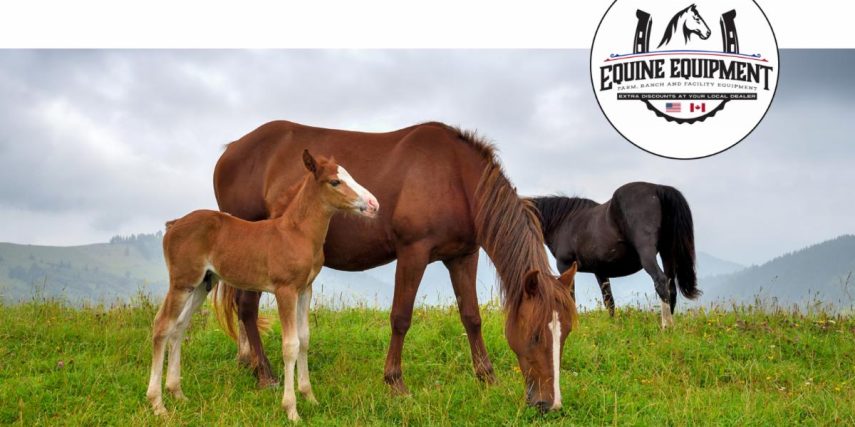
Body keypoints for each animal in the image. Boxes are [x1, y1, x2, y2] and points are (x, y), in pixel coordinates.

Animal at [146, 150, 379, 421]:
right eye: (335, 181)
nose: (374, 204)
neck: (297, 233)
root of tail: (173, 225)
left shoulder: (305, 290)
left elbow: (305, 338)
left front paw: (310, 397)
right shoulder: (285, 290)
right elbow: (290, 345)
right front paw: (291, 409)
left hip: (203, 284)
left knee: (179, 327)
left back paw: (177, 393)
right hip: (182, 282)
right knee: (162, 325)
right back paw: (158, 404)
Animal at [212, 120, 578, 411]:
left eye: (566, 334)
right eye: (535, 335)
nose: (549, 404)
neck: (455, 175)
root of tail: (231, 151)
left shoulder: (463, 257)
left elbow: (471, 317)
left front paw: (487, 377)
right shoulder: (413, 252)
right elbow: (401, 318)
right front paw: (394, 382)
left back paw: (249, 363)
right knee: (247, 308)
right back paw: (264, 373)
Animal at [530, 182, 700, 328]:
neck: (564, 221)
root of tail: (657, 188)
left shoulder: (565, 266)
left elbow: (570, 297)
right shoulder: (600, 271)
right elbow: (609, 301)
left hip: (648, 253)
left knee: (661, 281)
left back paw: (666, 325)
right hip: (668, 253)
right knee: (671, 286)